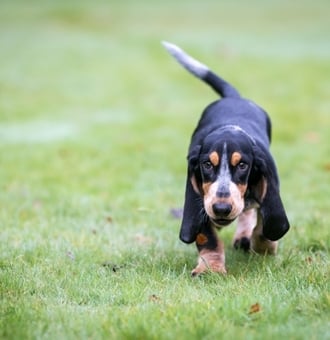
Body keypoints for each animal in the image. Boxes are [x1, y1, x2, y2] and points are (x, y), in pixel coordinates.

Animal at [162, 42, 288, 276]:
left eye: (242, 165)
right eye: (207, 164)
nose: (221, 209)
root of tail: (234, 97)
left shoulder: (268, 184)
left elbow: (264, 224)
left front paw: (263, 247)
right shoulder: (199, 195)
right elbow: (207, 237)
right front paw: (210, 269)